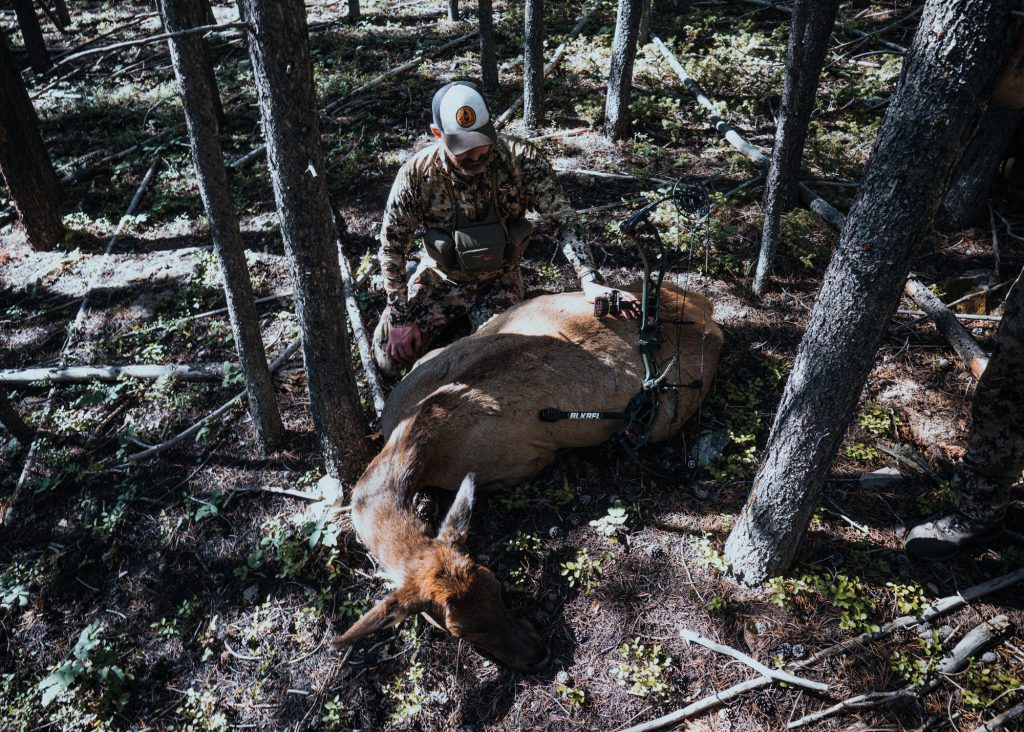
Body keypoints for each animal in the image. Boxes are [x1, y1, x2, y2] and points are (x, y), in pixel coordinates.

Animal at [333, 284, 720, 671]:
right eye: (459, 630)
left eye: (498, 586)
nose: (539, 654)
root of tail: (710, 315)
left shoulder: (526, 462)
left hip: (662, 419)